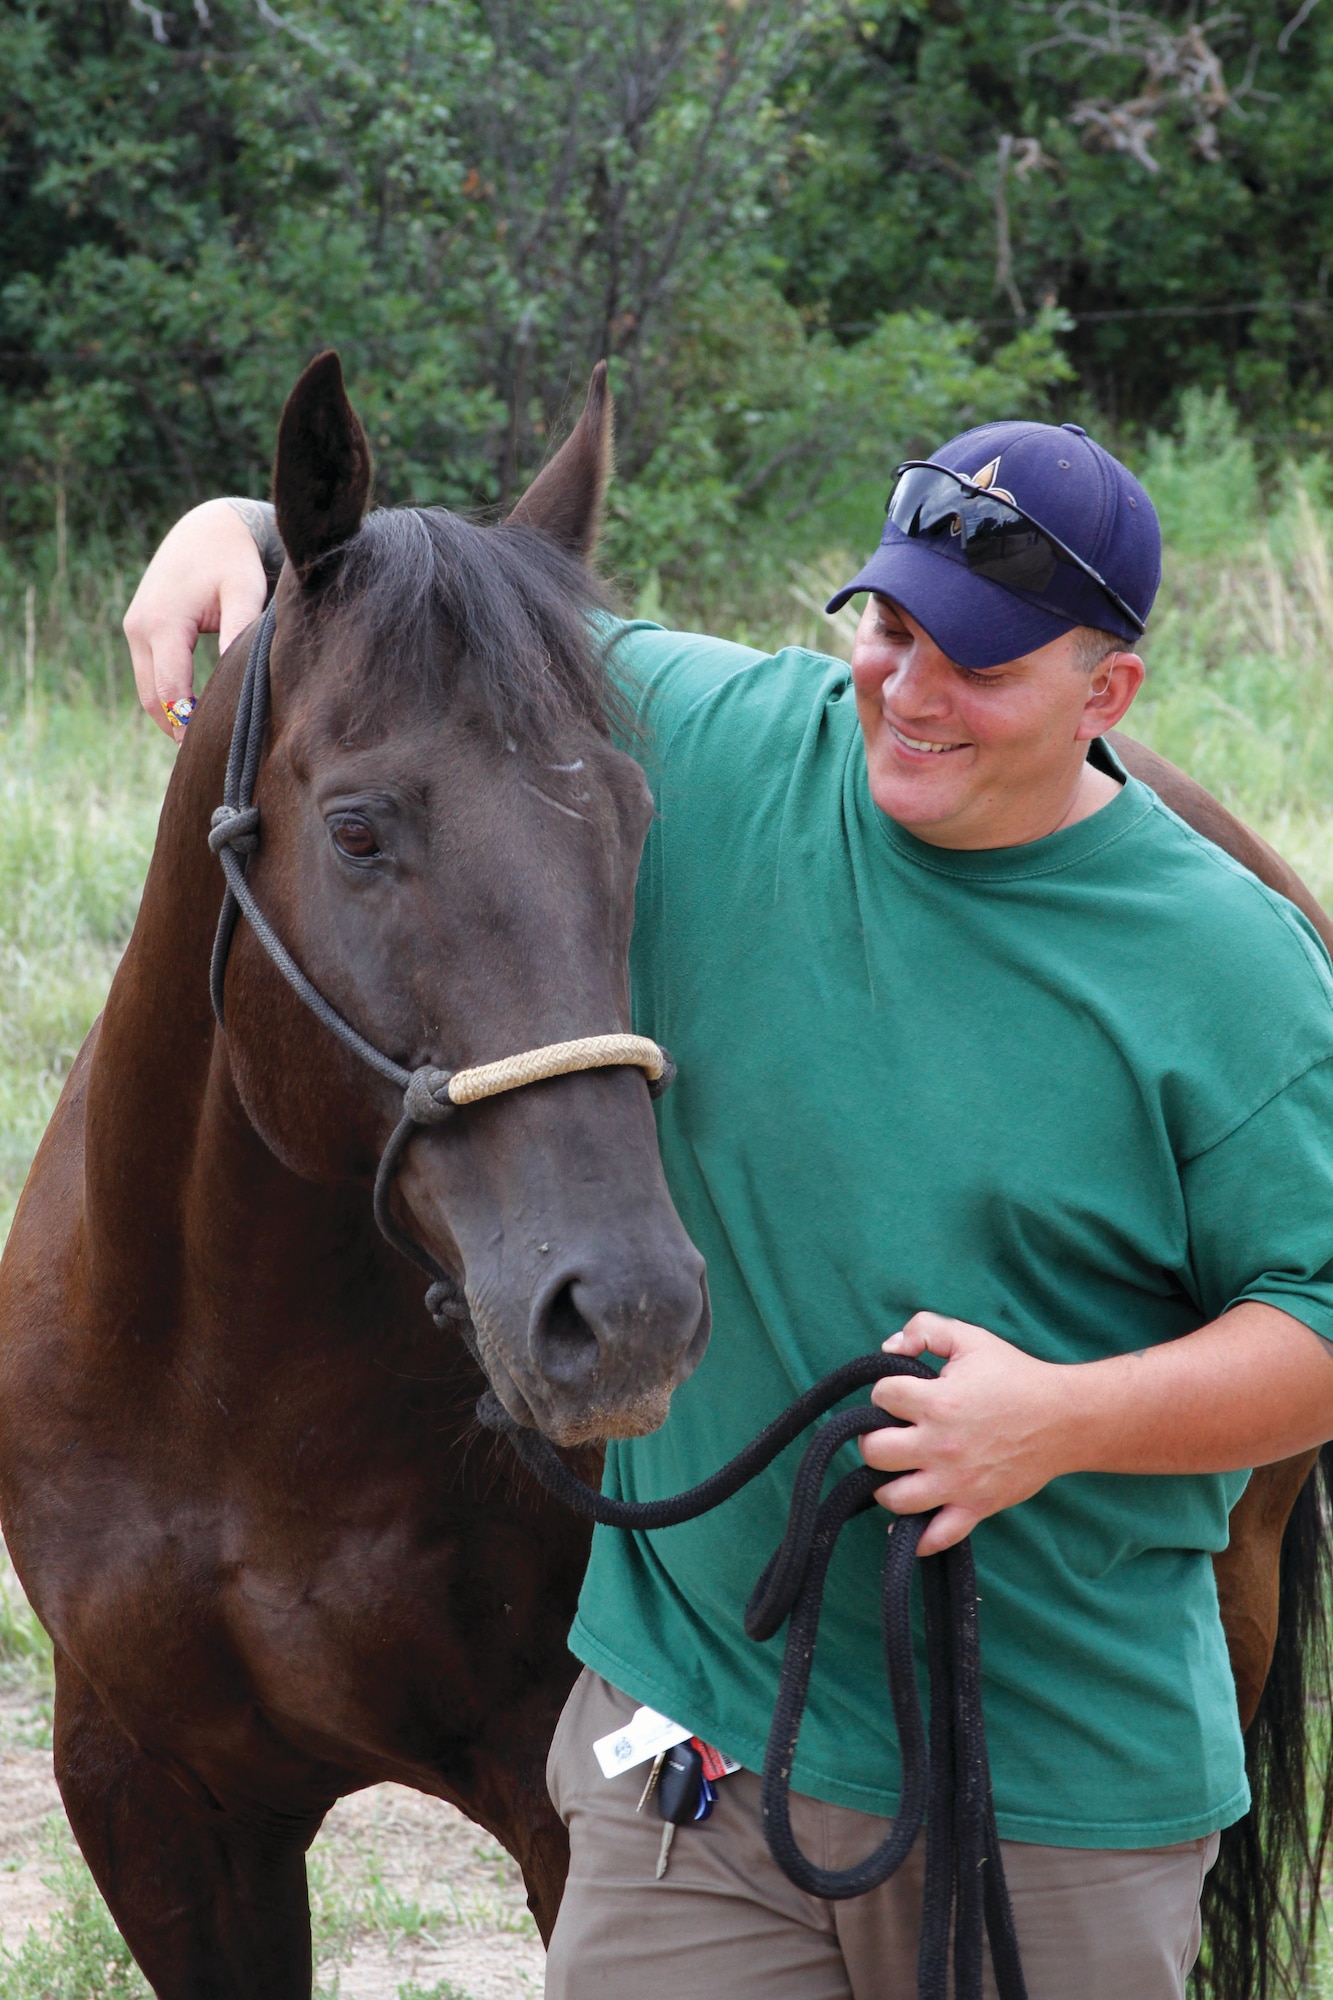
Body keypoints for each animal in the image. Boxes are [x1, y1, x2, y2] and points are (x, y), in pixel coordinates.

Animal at [0, 352, 1320, 1992]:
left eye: (638, 821)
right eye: (358, 828)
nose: (624, 1312)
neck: (237, 1396)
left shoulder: (558, 1795)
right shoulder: (154, 1802)